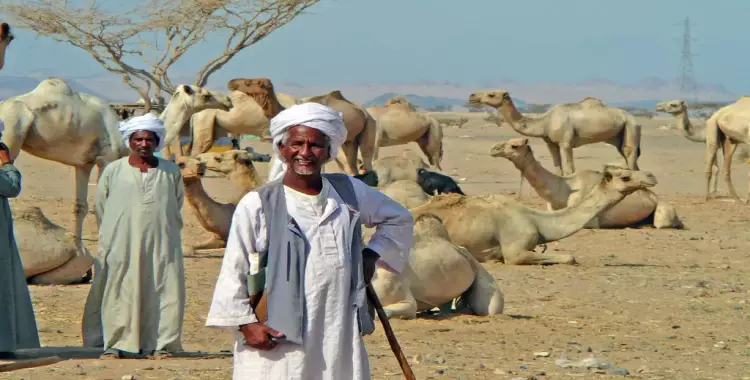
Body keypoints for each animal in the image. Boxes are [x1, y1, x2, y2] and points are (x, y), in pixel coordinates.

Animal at [468, 91, 644, 176]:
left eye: (491, 94)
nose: (472, 96)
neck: (545, 121)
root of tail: (635, 119)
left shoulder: (565, 142)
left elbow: (570, 170)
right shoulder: (551, 143)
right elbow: (558, 169)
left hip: (630, 127)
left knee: (630, 155)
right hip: (620, 135)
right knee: (631, 160)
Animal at [490, 138, 684, 230]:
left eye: (515, 145)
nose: (494, 149)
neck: (563, 190)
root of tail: (654, 196)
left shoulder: (589, 219)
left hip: (664, 210)